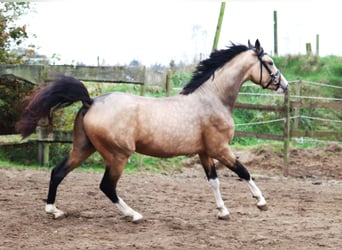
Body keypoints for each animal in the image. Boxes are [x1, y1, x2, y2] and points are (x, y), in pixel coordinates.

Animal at [16, 40, 288, 222]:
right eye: (270, 62)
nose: (284, 85)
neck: (212, 99)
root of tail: (90, 102)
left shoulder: (204, 152)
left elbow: (214, 181)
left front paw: (223, 212)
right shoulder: (220, 148)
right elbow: (243, 171)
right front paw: (261, 202)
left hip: (83, 148)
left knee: (58, 172)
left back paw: (54, 210)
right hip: (118, 155)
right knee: (107, 186)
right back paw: (133, 214)